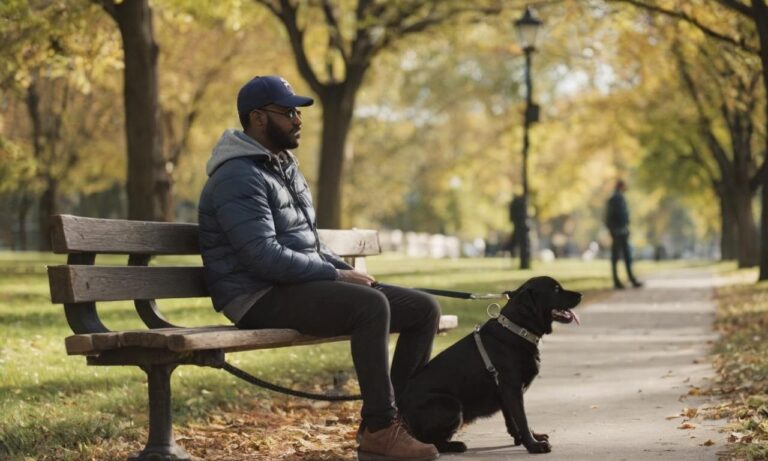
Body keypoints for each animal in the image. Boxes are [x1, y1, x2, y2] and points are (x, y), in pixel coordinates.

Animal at [396, 276, 584, 452]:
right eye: (556, 289)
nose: (581, 295)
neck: (517, 330)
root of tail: (401, 410)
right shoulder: (512, 389)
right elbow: (522, 419)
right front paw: (534, 446)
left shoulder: (506, 393)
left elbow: (513, 420)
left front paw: (526, 438)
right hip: (452, 406)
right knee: (430, 441)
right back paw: (455, 445)